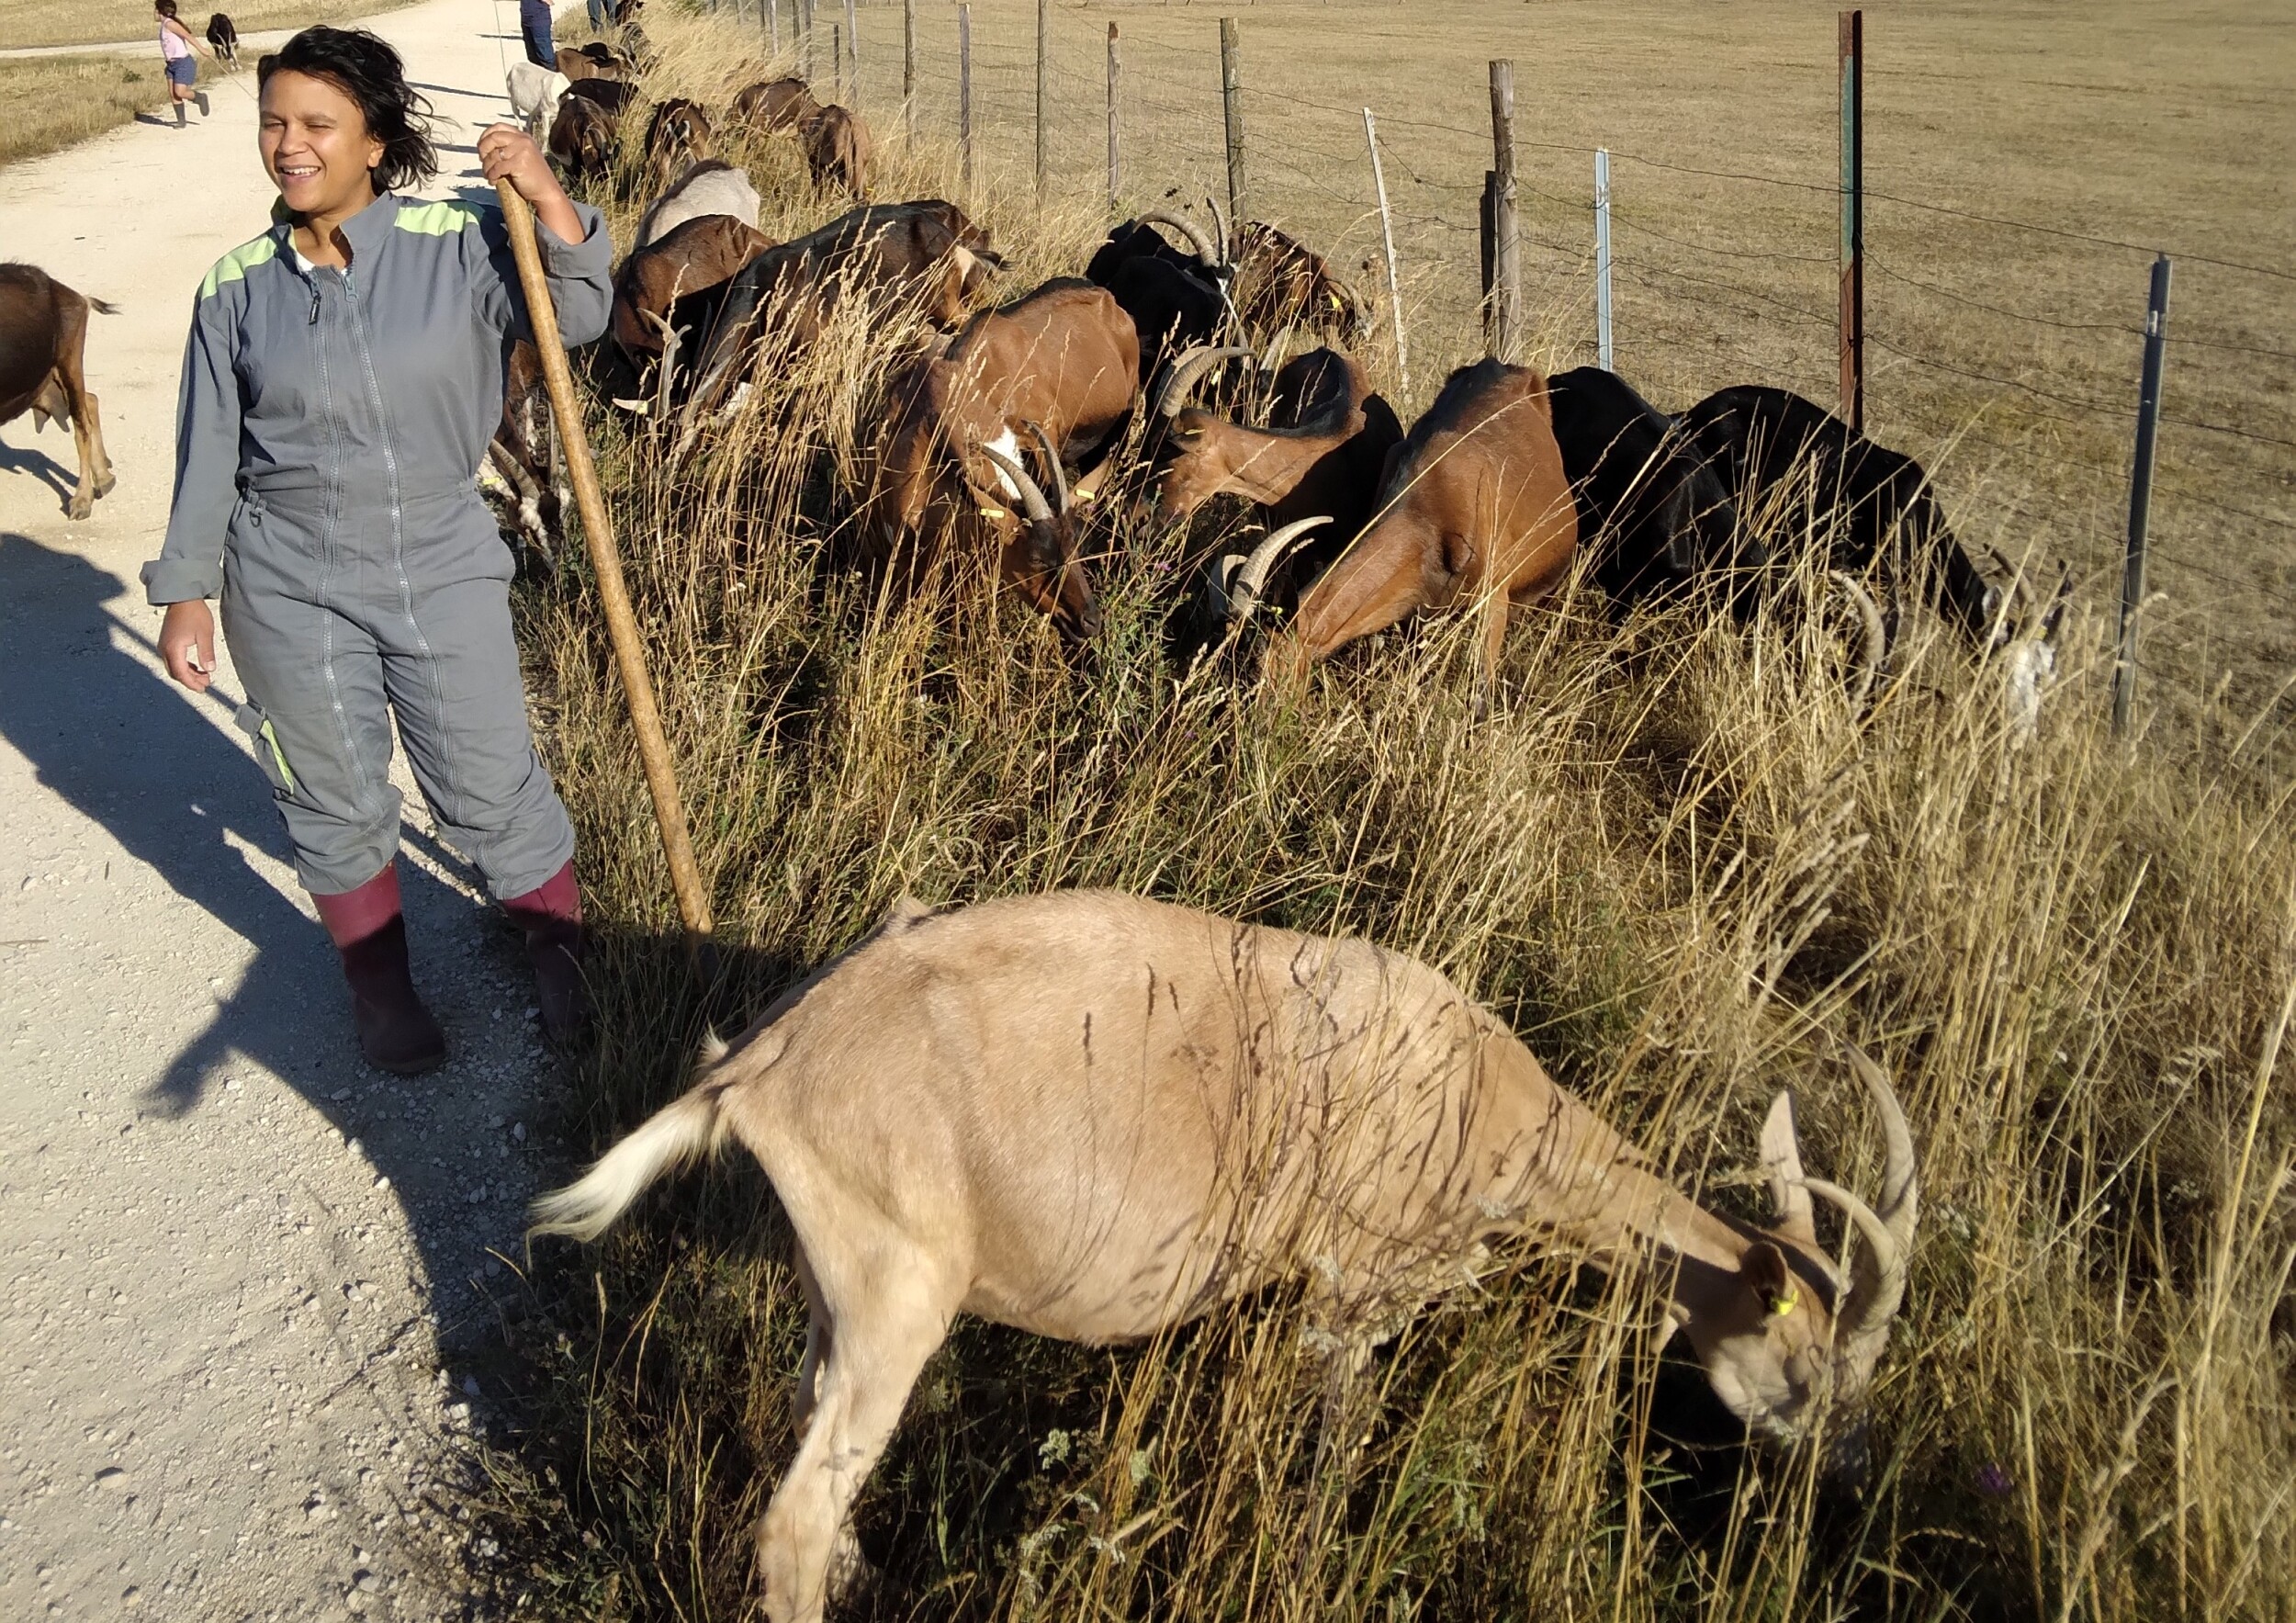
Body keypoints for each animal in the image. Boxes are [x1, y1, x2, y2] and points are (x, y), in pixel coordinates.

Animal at [537, 890, 1919, 1623]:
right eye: (1808, 1361)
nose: (1848, 1474)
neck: (1482, 1108)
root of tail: (758, 1067)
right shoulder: (1350, 1297)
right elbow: (1327, 1466)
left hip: (839, 1280)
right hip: (899, 1289)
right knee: (791, 1518)